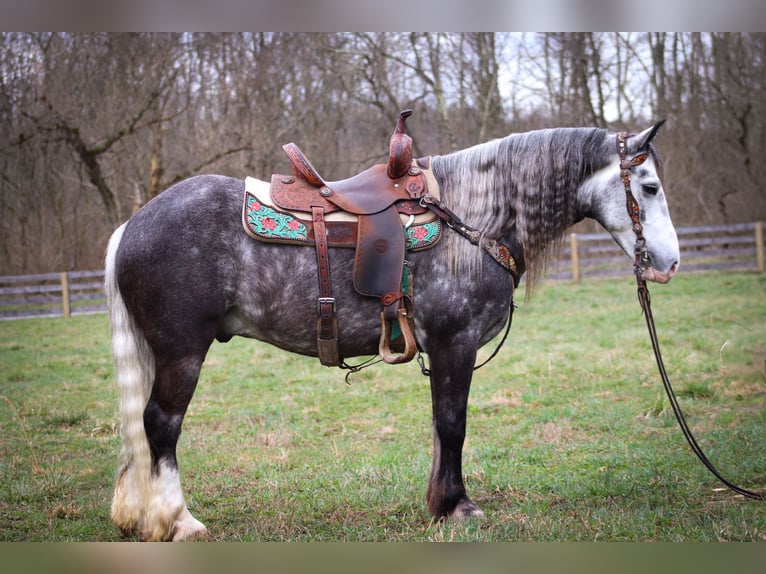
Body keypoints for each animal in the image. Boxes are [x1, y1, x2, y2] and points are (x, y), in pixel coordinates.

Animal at [105, 122, 680, 544]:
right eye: (650, 187)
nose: (670, 263)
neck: (471, 219)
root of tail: (132, 225)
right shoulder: (455, 342)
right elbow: (453, 423)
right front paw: (457, 506)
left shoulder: (443, 350)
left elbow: (440, 426)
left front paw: (439, 503)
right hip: (183, 351)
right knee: (161, 424)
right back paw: (179, 521)